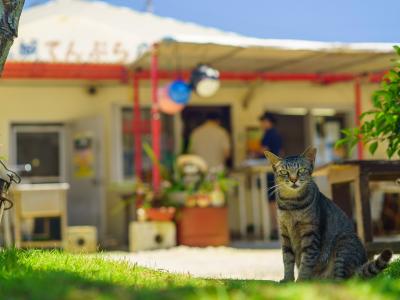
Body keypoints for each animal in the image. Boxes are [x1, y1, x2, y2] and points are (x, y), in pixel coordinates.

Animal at [264, 148, 392, 282]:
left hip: (344, 243)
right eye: (284, 172)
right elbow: (287, 258)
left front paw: (301, 281)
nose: (293, 179)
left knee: (343, 279)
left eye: (301, 170)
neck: (292, 204)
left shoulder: (311, 234)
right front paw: (287, 280)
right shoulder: (284, 233)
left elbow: (307, 260)